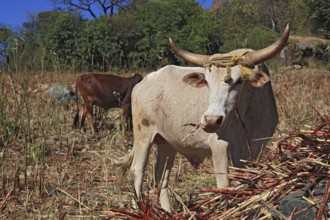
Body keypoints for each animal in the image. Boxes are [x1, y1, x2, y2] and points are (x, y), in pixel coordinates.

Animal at [115, 24, 288, 211]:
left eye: (240, 81)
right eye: (207, 82)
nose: (211, 120)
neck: (248, 119)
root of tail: (144, 81)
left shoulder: (255, 149)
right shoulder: (220, 146)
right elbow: (224, 185)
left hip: (167, 144)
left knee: (161, 176)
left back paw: (167, 212)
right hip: (143, 137)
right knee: (137, 171)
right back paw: (137, 209)